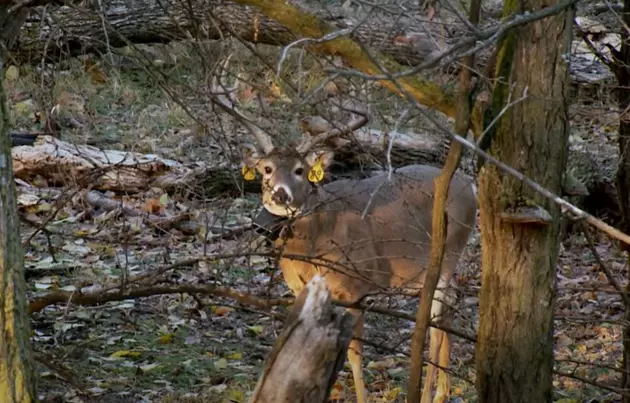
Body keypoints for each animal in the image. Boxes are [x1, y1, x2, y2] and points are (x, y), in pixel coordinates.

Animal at [210, 56, 476, 403]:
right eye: (266, 169)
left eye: (301, 170)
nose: (280, 194)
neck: (314, 245)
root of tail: (471, 188)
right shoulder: (302, 291)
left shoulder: (355, 287)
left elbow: (354, 356)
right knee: (449, 304)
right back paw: (443, 390)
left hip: (449, 249)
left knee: (436, 312)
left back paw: (431, 392)